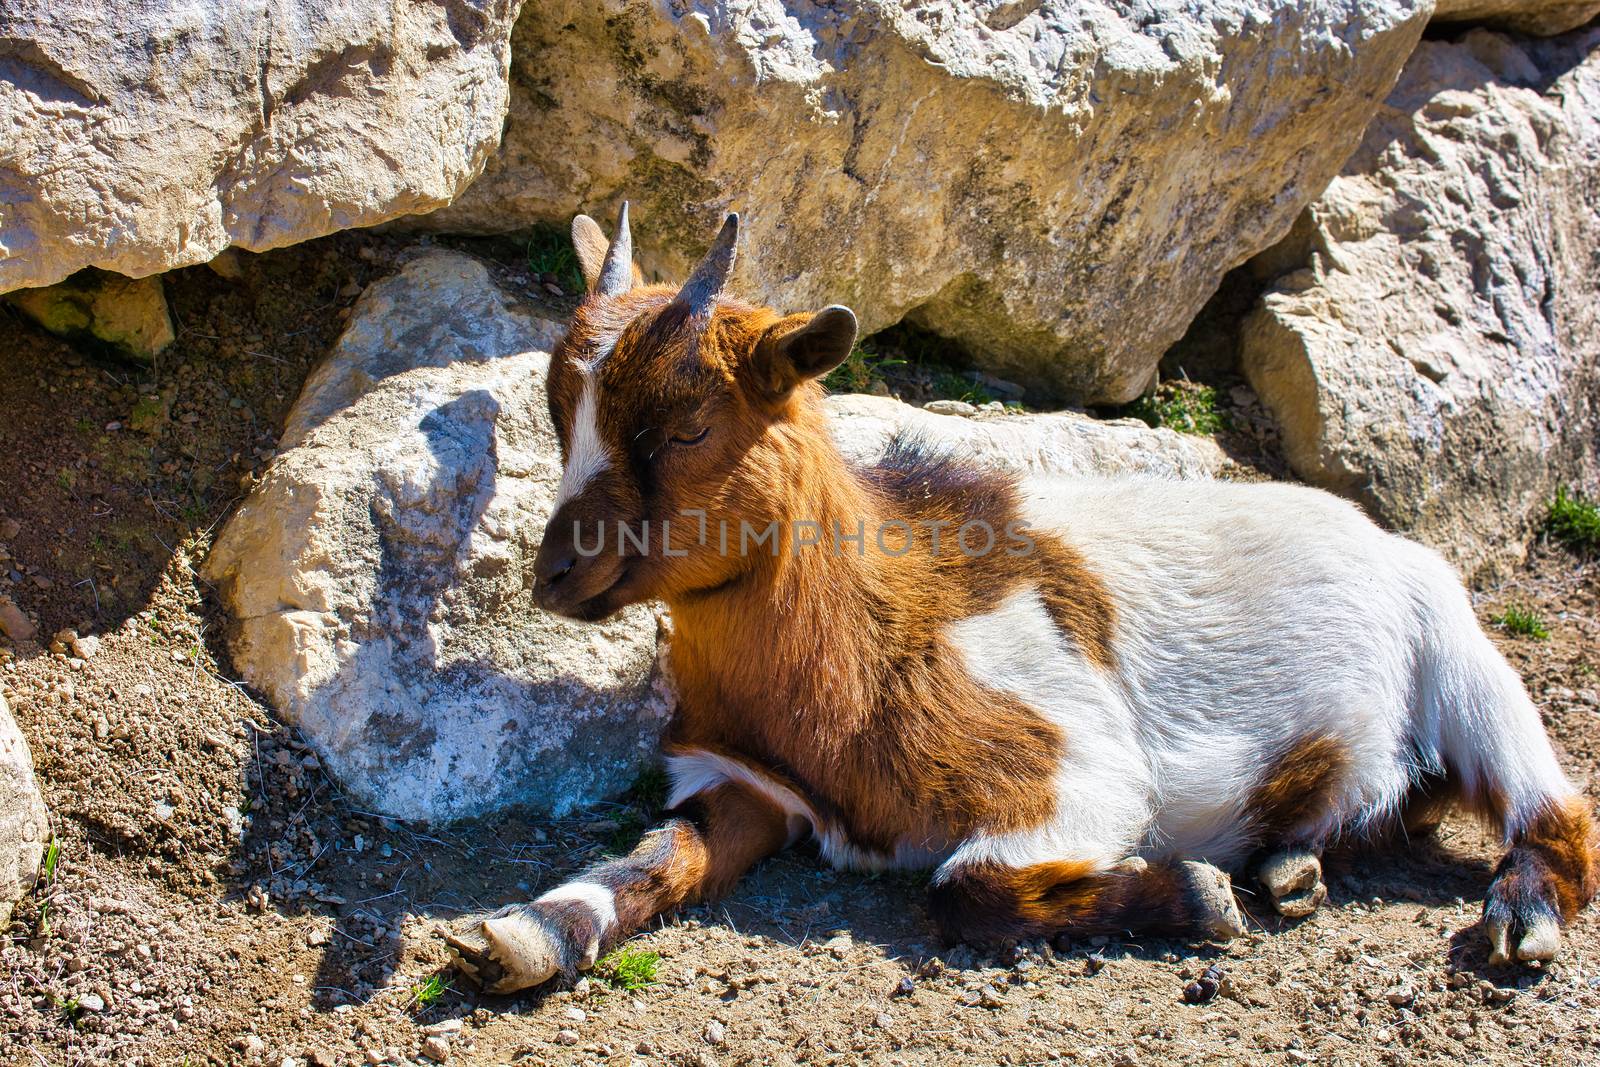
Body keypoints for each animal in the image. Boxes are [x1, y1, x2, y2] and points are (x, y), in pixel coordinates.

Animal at [444, 204, 1593, 991]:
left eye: (687, 427)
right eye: (559, 414)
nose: (554, 574)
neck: (864, 627)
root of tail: (1375, 532)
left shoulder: (1074, 770)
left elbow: (965, 886)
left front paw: (1191, 892)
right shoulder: (740, 781)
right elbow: (653, 855)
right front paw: (529, 929)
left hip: (1460, 651)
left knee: (1553, 806)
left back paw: (1517, 915)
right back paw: (1295, 860)